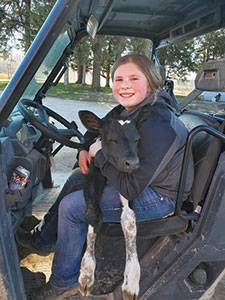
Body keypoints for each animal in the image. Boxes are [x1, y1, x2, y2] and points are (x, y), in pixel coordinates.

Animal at [78, 109, 143, 300]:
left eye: (137, 139)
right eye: (112, 139)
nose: (133, 162)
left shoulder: (128, 186)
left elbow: (129, 221)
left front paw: (131, 281)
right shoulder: (91, 175)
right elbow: (93, 216)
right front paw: (86, 274)